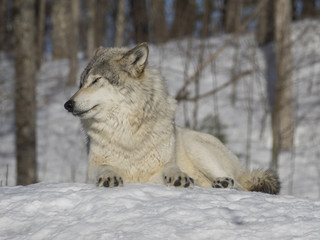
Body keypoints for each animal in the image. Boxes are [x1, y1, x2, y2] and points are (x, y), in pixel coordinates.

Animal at [64, 42, 280, 194]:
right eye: (81, 83)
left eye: (96, 80)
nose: (68, 104)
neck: (128, 134)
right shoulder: (92, 168)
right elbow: (105, 168)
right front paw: (109, 177)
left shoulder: (162, 166)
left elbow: (171, 169)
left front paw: (179, 177)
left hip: (198, 148)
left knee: (240, 186)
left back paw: (223, 183)